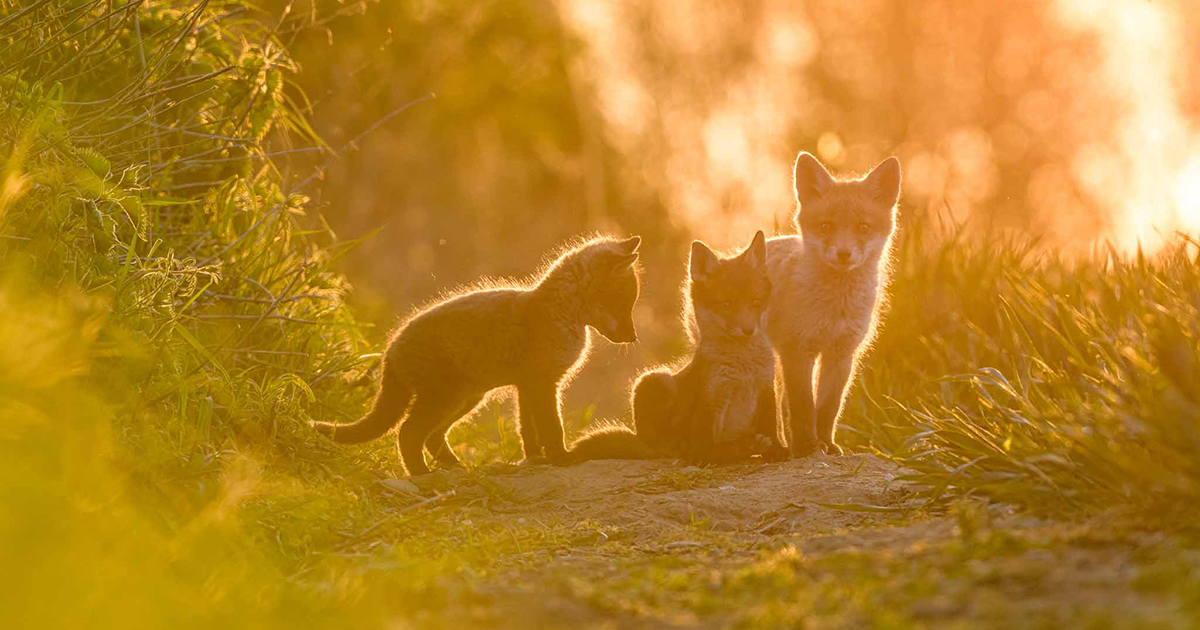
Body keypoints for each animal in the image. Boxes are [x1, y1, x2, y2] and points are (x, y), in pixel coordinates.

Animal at [311, 235, 642, 476]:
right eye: (624, 302)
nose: (633, 337)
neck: (560, 313)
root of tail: (390, 350)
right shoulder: (542, 383)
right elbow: (551, 427)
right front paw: (561, 458)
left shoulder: (527, 385)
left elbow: (528, 430)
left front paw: (537, 459)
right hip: (445, 397)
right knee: (408, 433)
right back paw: (423, 476)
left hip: (466, 399)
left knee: (431, 437)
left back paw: (456, 467)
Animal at [569, 230, 788, 464]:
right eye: (726, 305)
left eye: (755, 301)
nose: (748, 330)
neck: (744, 369)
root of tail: (643, 442)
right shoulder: (710, 399)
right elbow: (704, 440)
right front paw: (702, 458)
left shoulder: (766, 389)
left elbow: (773, 427)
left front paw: (777, 449)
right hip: (652, 381)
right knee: (686, 449)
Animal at [766, 151, 901, 456]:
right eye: (826, 226)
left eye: (863, 227)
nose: (843, 254)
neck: (836, 308)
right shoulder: (798, 350)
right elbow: (803, 406)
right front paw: (806, 447)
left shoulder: (842, 353)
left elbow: (828, 407)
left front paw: (826, 443)